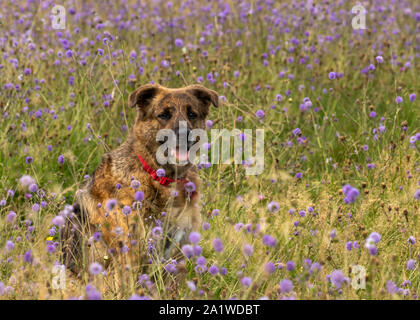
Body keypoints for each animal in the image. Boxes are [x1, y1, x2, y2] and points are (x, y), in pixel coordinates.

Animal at [62, 84, 220, 276]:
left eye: (192, 114)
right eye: (164, 115)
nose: (185, 134)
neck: (160, 177)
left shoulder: (178, 253)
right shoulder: (132, 253)